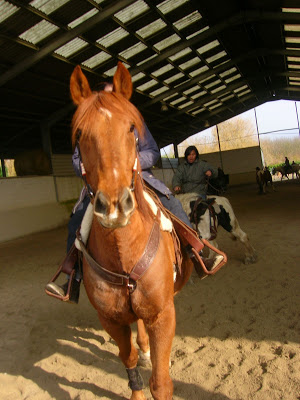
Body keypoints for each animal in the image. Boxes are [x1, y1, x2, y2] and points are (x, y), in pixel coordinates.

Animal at [69, 63, 193, 400]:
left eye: (130, 129)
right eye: (80, 134)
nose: (114, 205)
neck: (123, 254)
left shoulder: (162, 315)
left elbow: (160, 383)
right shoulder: (110, 320)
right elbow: (130, 360)